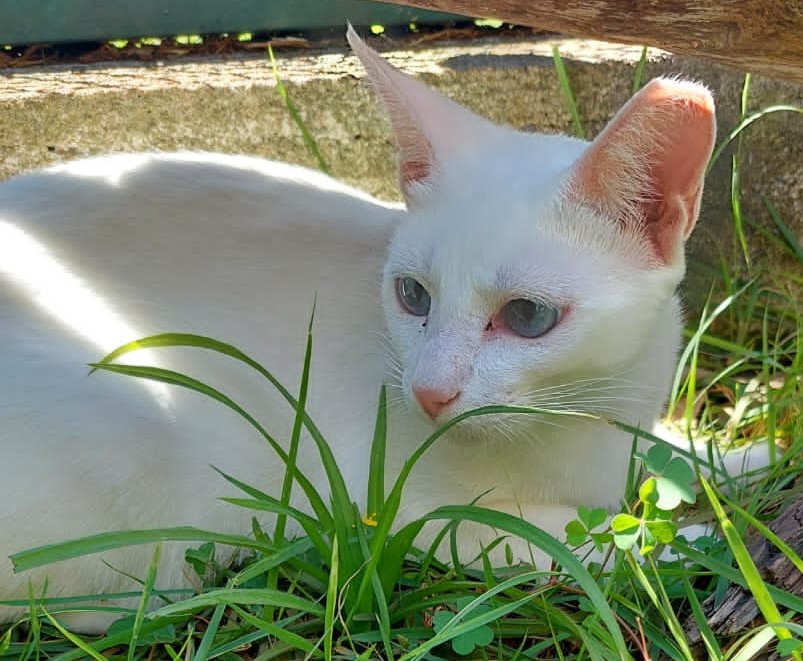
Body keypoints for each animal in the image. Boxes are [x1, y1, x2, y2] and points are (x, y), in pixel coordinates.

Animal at [0, 28, 716, 632]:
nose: (429, 393)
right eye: (412, 295)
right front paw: (696, 536)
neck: (580, 421)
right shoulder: (398, 511)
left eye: (527, 316)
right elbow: (587, 540)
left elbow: (680, 461)